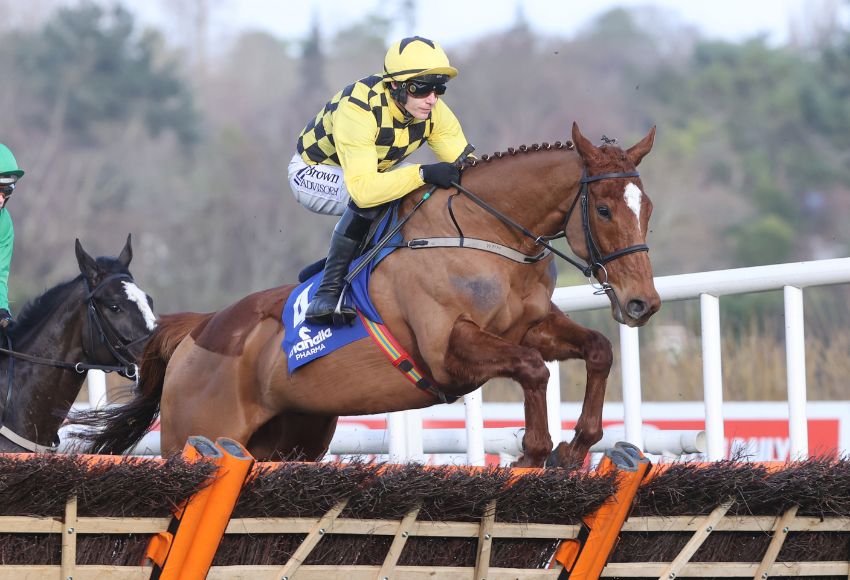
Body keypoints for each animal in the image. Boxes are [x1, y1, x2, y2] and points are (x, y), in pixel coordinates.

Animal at [79, 122, 660, 466]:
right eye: (603, 209)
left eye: (646, 207)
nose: (642, 302)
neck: (483, 235)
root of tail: (196, 331)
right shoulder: (449, 349)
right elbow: (533, 370)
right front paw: (536, 451)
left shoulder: (530, 326)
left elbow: (597, 350)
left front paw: (577, 444)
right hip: (192, 434)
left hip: (292, 438)